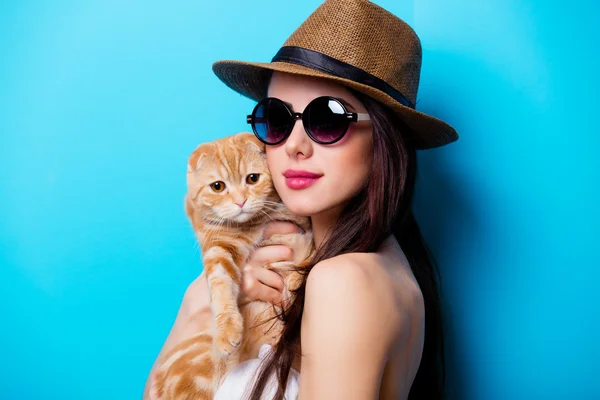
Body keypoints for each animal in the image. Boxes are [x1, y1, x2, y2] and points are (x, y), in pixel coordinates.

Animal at [150, 132, 314, 400]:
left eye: (252, 179)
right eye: (218, 186)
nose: (241, 201)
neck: (254, 224)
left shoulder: (303, 230)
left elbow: (306, 256)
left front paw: (294, 283)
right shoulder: (219, 247)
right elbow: (220, 283)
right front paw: (227, 330)